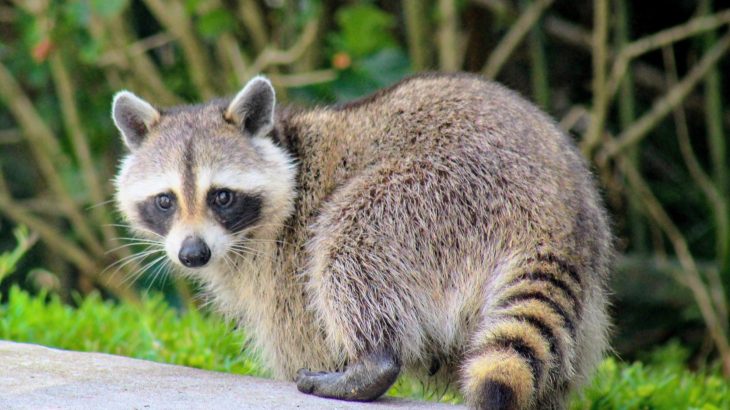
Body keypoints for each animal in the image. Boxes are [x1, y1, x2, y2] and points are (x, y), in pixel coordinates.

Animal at [112, 73, 612, 409]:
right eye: (165, 201)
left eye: (221, 196)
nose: (192, 253)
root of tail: (555, 214)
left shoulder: (285, 266)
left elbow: (305, 333)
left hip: (440, 195)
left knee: (351, 235)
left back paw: (372, 361)